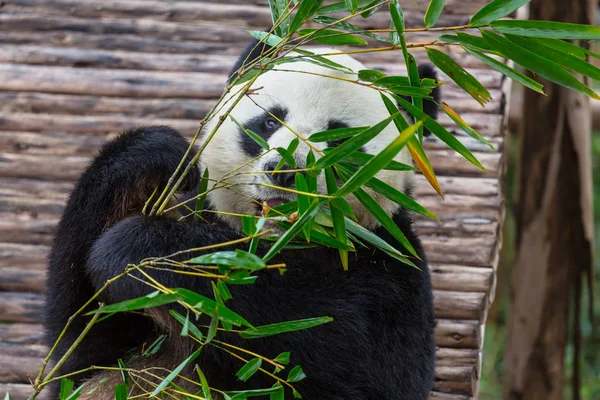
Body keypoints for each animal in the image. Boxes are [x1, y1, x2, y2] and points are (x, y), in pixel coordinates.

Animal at [42, 38, 438, 400]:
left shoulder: (389, 270)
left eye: (339, 139)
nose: (285, 170)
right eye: (268, 121)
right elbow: (80, 350)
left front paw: (138, 250)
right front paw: (157, 155)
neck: (274, 244)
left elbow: (342, 353)